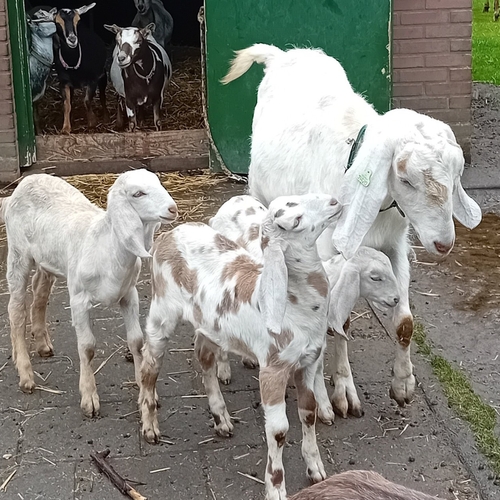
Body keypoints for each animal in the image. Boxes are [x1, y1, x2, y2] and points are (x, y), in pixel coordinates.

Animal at [1, 171, 178, 418]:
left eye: (159, 183)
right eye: (138, 194)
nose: (173, 208)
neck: (106, 247)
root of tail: (23, 184)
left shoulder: (129, 294)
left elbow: (136, 341)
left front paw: (143, 389)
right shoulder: (78, 298)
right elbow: (87, 347)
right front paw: (89, 397)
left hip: (48, 259)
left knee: (40, 291)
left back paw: (42, 344)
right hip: (18, 254)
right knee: (16, 309)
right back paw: (26, 374)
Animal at [38, 2, 109, 135]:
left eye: (78, 21)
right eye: (57, 23)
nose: (72, 40)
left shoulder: (93, 80)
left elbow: (87, 101)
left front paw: (92, 123)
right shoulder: (64, 82)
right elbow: (66, 105)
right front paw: (65, 128)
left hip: (103, 74)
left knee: (102, 94)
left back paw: (106, 115)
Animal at [209, 193, 400, 420]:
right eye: (375, 277)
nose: (396, 299)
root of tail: (234, 200)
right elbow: (316, 369)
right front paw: (325, 408)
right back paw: (223, 369)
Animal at [222, 44, 480, 410]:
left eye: (457, 175)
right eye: (405, 179)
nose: (443, 244)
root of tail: (281, 54)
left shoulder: (395, 245)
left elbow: (405, 322)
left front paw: (403, 383)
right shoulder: (332, 252)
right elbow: (339, 320)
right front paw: (344, 390)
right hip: (258, 190)